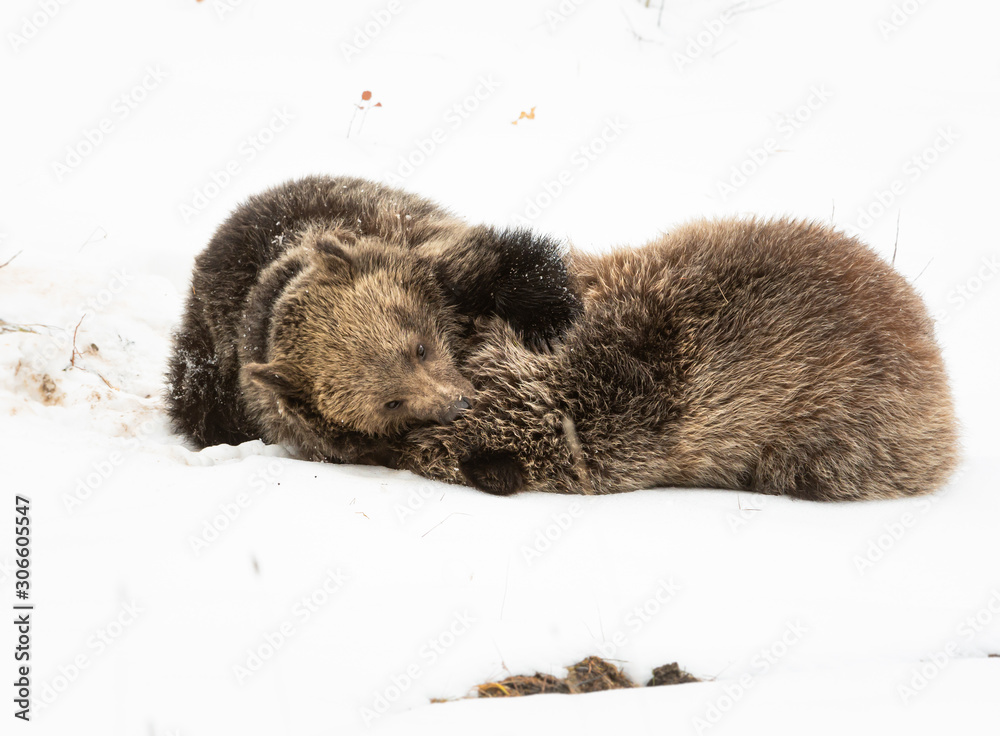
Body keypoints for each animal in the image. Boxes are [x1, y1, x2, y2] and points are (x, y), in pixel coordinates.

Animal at [165, 175, 580, 463]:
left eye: (419, 348)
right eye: (391, 403)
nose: (459, 404)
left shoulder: (434, 258)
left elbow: (513, 265)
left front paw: (549, 325)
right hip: (207, 374)